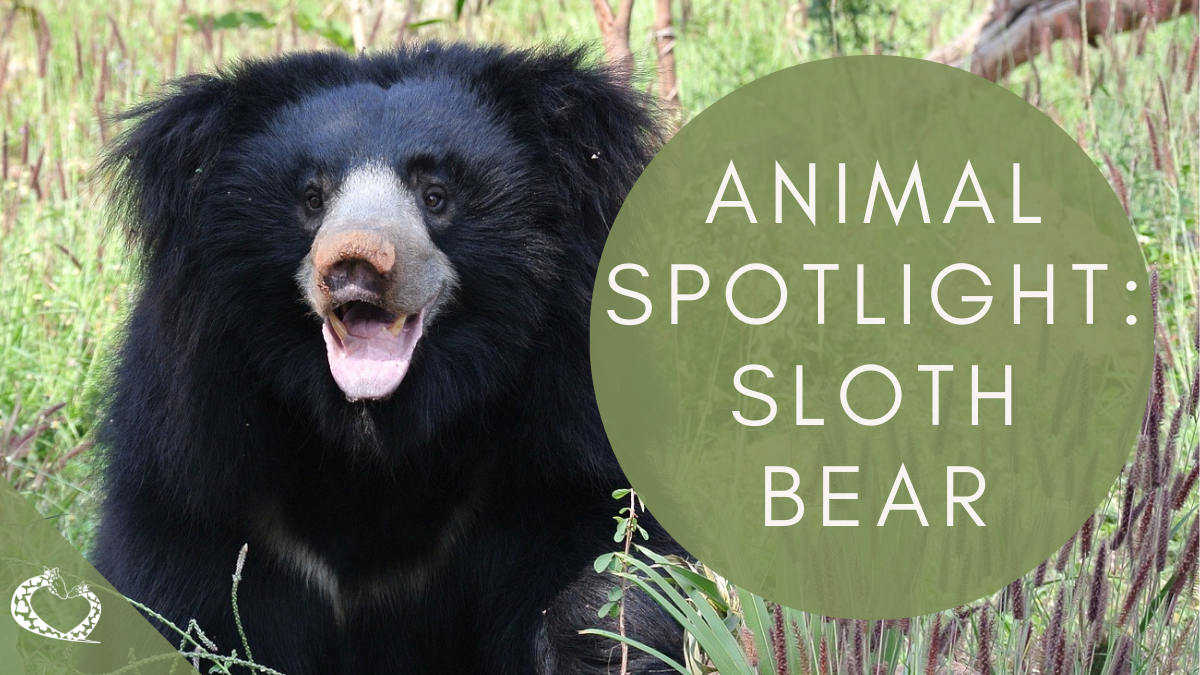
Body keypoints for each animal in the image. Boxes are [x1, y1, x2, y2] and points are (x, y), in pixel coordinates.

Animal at [92, 44, 684, 674]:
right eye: (312, 198)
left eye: (436, 195)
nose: (355, 263)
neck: (377, 437)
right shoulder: (194, 466)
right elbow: (168, 597)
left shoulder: (559, 429)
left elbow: (612, 549)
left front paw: (602, 639)